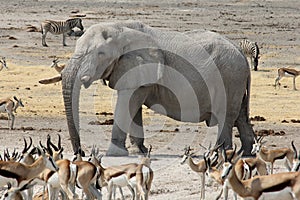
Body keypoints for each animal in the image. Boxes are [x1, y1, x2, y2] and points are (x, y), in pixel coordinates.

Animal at [61, 21, 255, 157]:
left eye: (100, 53)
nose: (81, 153)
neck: (119, 29)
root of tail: (241, 53)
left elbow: (127, 103)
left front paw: (115, 154)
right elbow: (133, 105)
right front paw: (139, 151)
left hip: (229, 78)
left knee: (226, 116)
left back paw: (220, 153)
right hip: (235, 80)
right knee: (240, 117)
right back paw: (246, 153)